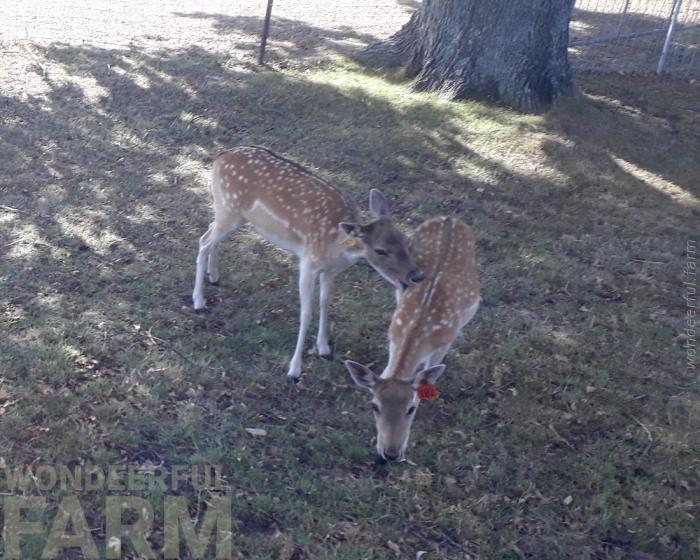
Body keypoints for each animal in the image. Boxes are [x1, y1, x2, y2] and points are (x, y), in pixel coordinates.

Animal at [191, 145, 424, 380]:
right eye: (380, 250)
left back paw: (214, 276)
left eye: (405, 241)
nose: (417, 275)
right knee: (203, 241)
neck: (337, 246)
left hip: (230, 213)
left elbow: (325, 303)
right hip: (229, 209)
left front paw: (324, 349)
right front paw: (294, 370)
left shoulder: (331, 271)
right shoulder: (308, 263)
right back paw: (199, 302)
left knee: (211, 232)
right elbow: (306, 313)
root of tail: (221, 156)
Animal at [344, 217, 482, 462]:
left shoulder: (444, 341)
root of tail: (449, 217)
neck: (419, 328)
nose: (391, 453)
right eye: (374, 406)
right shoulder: (393, 333)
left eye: (412, 409)